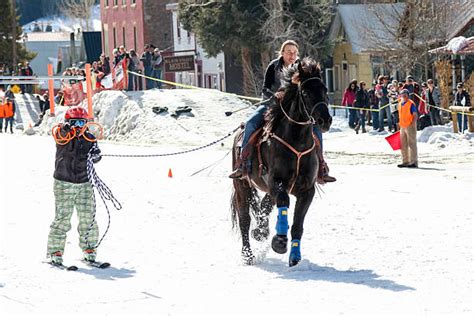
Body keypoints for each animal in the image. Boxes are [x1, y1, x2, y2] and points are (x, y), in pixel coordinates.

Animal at [231, 57, 332, 266]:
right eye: (305, 92)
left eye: (324, 89)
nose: (325, 120)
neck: (296, 141)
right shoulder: (277, 182)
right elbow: (284, 202)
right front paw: (279, 242)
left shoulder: (307, 190)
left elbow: (297, 225)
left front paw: (294, 255)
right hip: (242, 185)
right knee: (244, 218)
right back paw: (248, 254)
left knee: (264, 207)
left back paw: (261, 231)